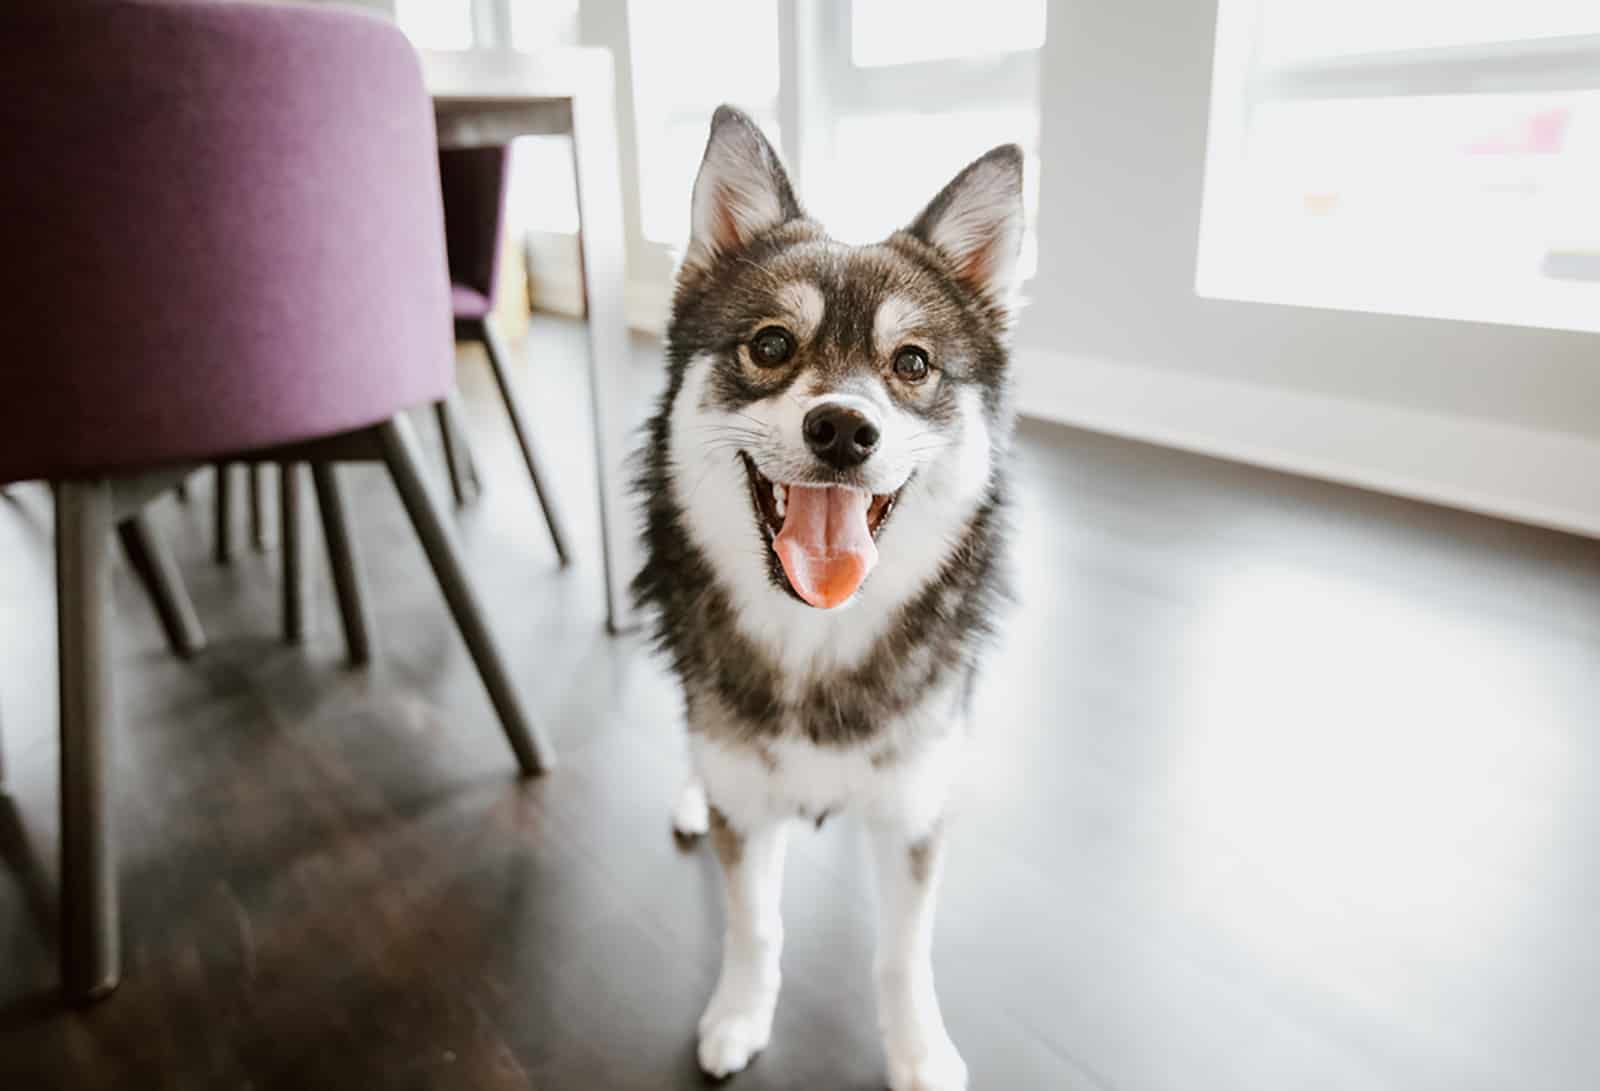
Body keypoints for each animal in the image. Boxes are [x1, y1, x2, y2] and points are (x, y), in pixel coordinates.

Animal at [630, 103, 1017, 1087]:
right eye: (771, 345)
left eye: (912, 363)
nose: (843, 427)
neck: (816, 643)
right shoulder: (746, 808)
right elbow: (755, 924)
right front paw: (737, 1014)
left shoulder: (914, 812)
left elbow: (902, 952)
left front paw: (919, 1051)